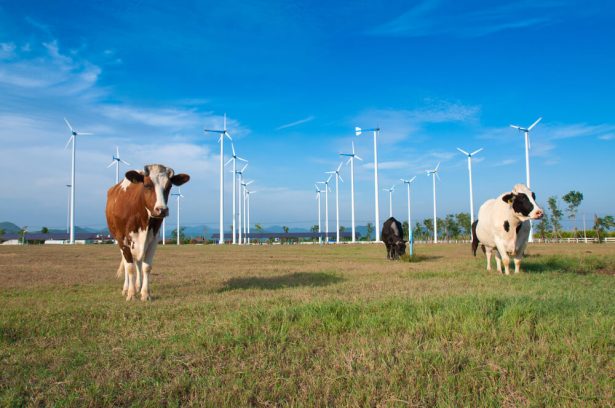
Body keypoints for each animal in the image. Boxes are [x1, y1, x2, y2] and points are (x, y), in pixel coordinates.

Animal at [106, 164, 189, 302]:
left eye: (169, 186)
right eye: (147, 185)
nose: (162, 210)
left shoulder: (153, 239)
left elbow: (146, 267)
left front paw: (145, 294)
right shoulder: (123, 240)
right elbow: (129, 267)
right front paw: (131, 294)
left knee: (138, 262)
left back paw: (138, 286)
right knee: (126, 263)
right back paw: (126, 288)